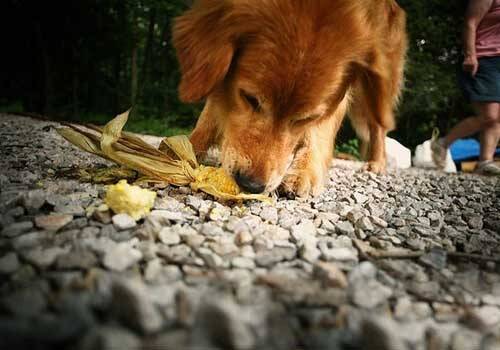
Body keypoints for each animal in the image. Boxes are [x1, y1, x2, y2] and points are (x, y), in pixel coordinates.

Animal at [172, 0, 406, 197]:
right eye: (250, 99)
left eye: (304, 119)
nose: (251, 185)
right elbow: (210, 112)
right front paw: (187, 146)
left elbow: (319, 130)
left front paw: (303, 171)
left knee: (378, 125)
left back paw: (376, 163)